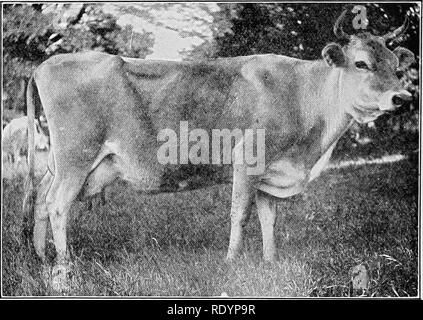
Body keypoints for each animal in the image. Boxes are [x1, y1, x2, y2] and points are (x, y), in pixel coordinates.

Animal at [22, 10, 414, 292]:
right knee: (57, 203)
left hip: (61, 162)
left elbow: (269, 217)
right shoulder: (248, 160)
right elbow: (240, 214)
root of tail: (46, 65)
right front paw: (231, 263)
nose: (402, 97)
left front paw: (270, 263)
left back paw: (42, 258)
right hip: (76, 157)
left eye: (397, 67)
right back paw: (64, 268)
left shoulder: (271, 172)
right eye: (361, 63)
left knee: (40, 197)